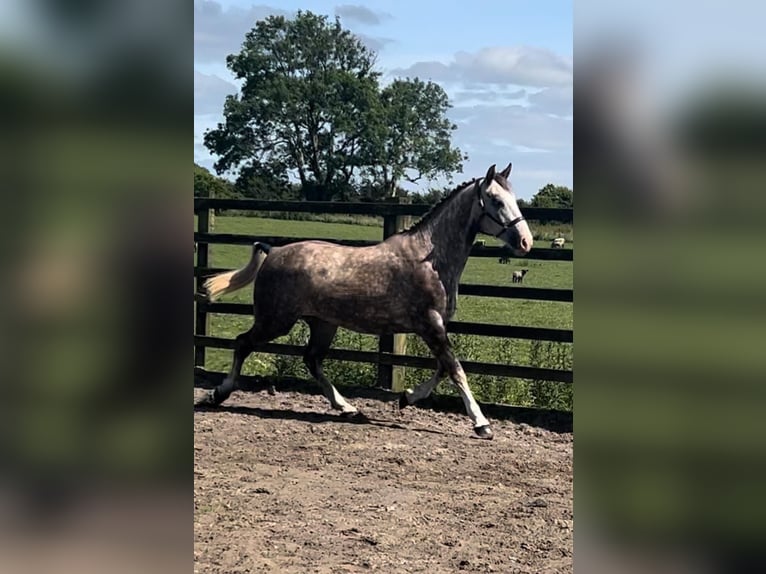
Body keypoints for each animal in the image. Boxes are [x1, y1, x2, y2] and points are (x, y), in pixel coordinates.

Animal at [196, 163, 536, 440]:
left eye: (514, 198)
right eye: (496, 200)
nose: (526, 242)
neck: (430, 259)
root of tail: (273, 251)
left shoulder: (436, 326)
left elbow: (442, 368)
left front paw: (406, 397)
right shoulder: (430, 324)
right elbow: (455, 369)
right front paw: (482, 424)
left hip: (322, 324)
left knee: (311, 359)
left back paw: (347, 407)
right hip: (275, 320)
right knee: (243, 343)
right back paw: (218, 394)